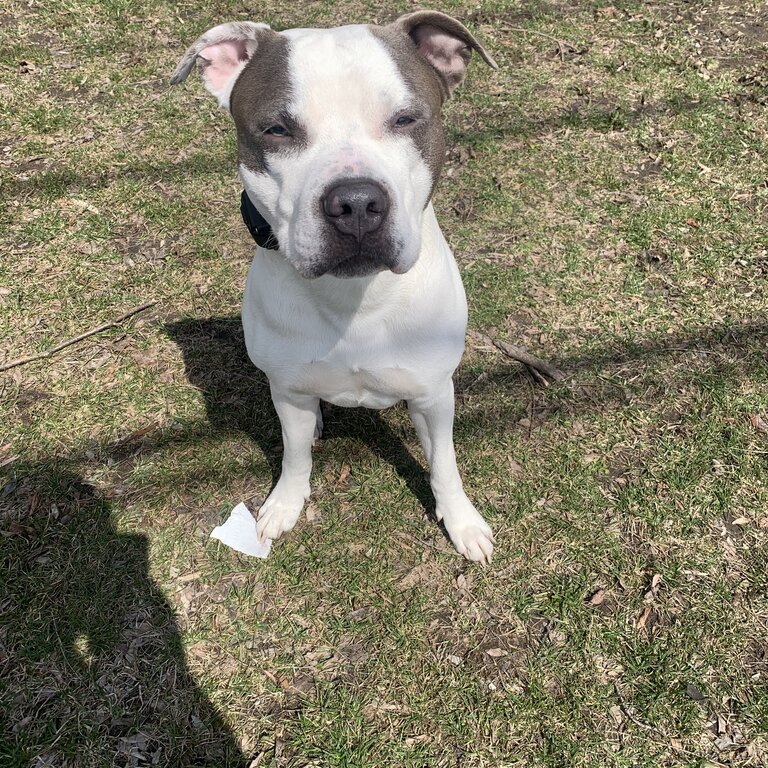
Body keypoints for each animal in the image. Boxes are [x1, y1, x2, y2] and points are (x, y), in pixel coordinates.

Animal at [171, 9, 498, 560]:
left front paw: (462, 522)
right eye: (277, 129)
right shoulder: (289, 394)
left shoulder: (433, 395)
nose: (357, 203)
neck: (356, 300)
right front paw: (284, 503)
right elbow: (294, 456)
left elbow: (445, 464)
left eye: (405, 119)